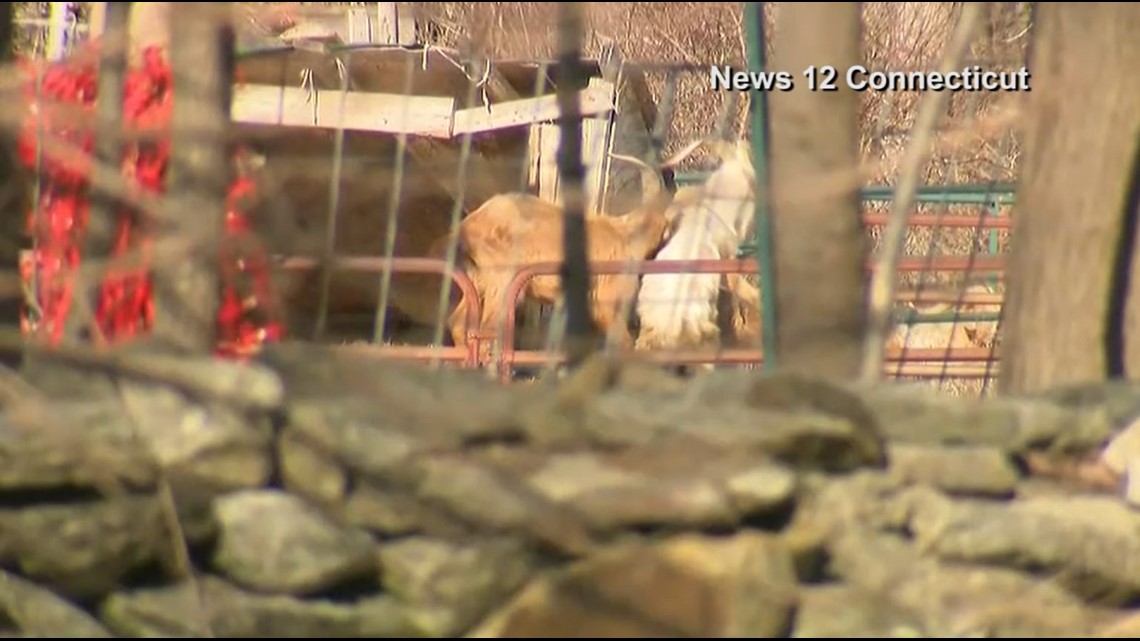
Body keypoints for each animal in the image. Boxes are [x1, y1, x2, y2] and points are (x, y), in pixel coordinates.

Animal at [433, 155, 684, 353]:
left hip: (478, 281)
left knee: (458, 322)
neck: (626, 236)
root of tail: (468, 225)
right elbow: (622, 342)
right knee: (486, 329)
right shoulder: (606, 301)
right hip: (502, 282)